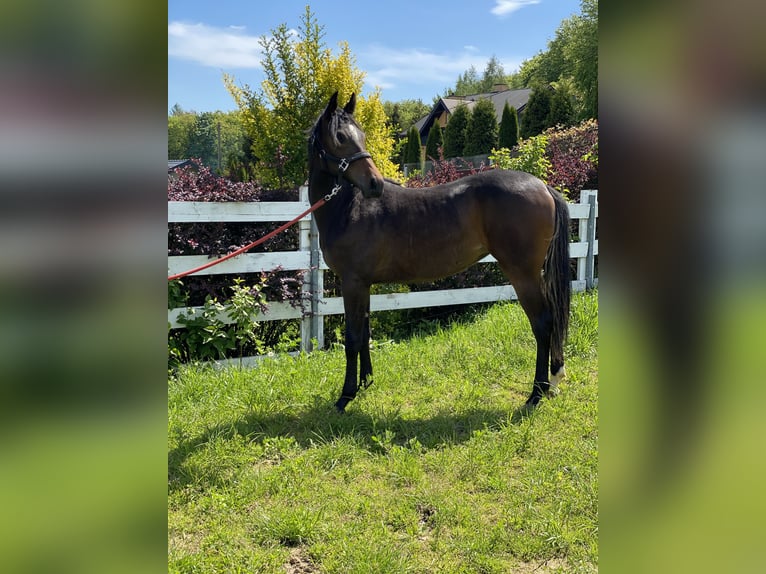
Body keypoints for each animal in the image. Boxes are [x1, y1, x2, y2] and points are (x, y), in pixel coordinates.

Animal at [308, 91, 572, 414]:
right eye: (341, 137)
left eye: (360, 135)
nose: (375, 184)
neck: (350, 207)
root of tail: (543, 186)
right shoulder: (363, 285)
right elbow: (365, 332)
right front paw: (365, 383)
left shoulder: (352, 283)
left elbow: (353, 339)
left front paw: (345, 397)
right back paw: (552, 381)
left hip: (523, 274)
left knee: (543, 323)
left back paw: (536, 393)